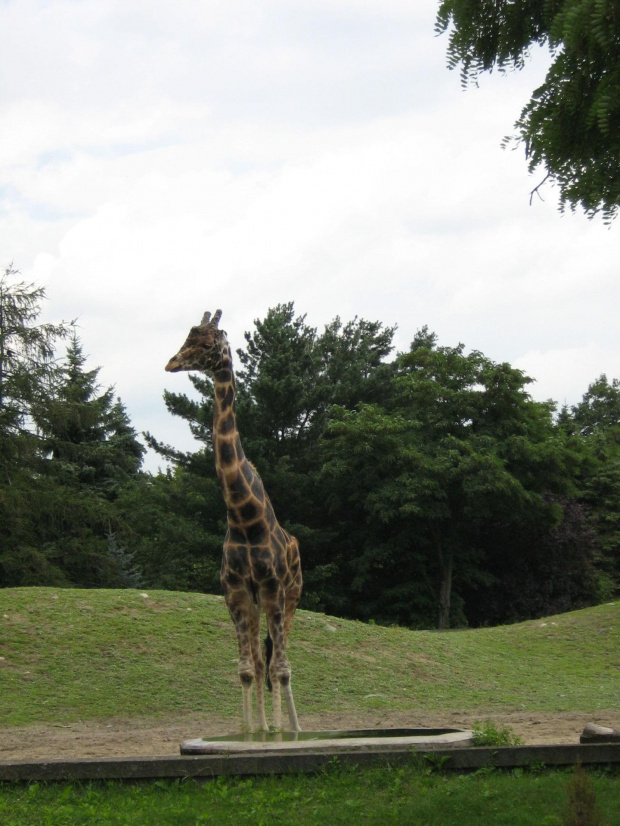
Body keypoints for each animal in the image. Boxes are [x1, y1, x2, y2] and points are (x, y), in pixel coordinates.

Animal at [163, 308, 302, 728]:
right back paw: (267, 726)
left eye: (208, 342)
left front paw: (282, 732)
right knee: (260, 659)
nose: (172, 363)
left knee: (281, 660)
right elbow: (247, 668)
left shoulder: (273, 587)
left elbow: (279, 669)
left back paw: (292, 726)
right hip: (258, 601)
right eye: (187, 336)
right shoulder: (235, 590)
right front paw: (251, 731)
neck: (243, 516)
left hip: (292, 594)